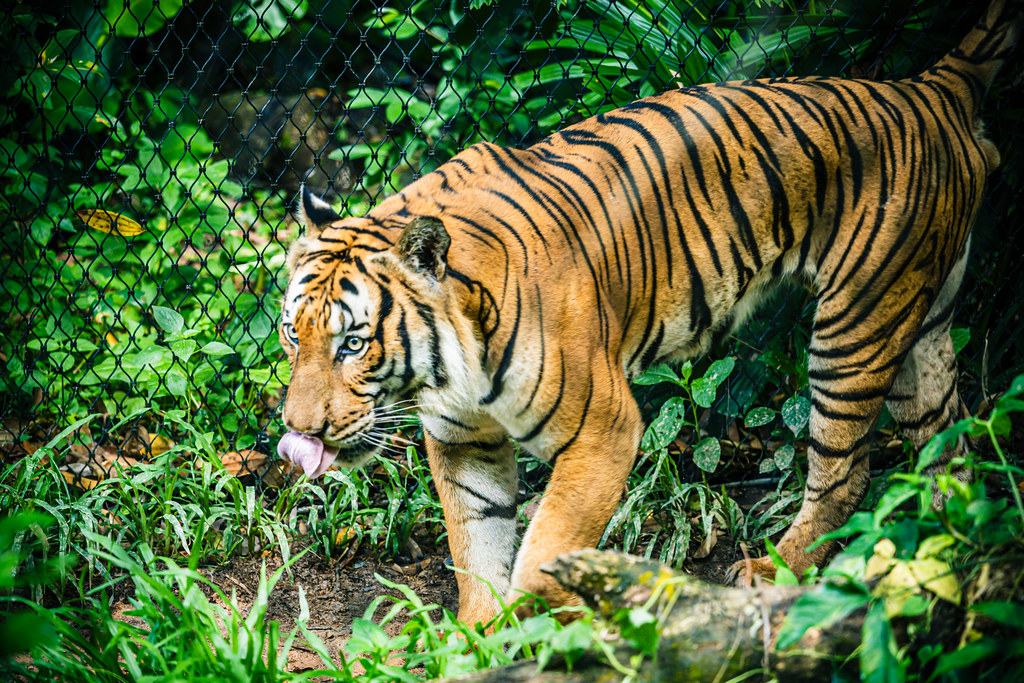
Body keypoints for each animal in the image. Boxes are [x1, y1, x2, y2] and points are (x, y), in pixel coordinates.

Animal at [276, 0, 1021, 627]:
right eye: (292, 335)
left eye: (353, 343)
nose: (298, 431)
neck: (449, 369)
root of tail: (925, 87)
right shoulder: (464, 441)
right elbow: (477, 547)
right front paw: (476, 635)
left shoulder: (604, 431)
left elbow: (542, 555)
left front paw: (542, 627)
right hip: (919, 327)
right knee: (953, 441)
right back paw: (953, 549)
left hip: (854, 327)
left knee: (845, 472)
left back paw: (776, 569)